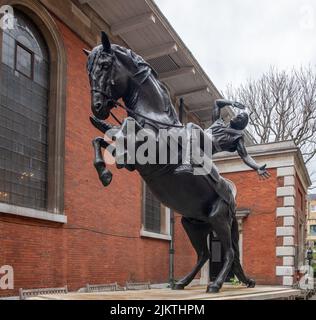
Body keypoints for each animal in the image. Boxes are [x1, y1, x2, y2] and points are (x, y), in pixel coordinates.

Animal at [83, 31, 254, 292]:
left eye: (104, 65)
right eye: (88, 70)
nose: (98, 107)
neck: (156, 120)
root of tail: (233, 202)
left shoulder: (148, 153)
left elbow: (121, 135)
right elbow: (101, 139)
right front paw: (105, 173)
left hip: (219, 218)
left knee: (230, 252)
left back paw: (214, 285)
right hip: (192, 224)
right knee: (204, 254)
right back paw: (181, 282)